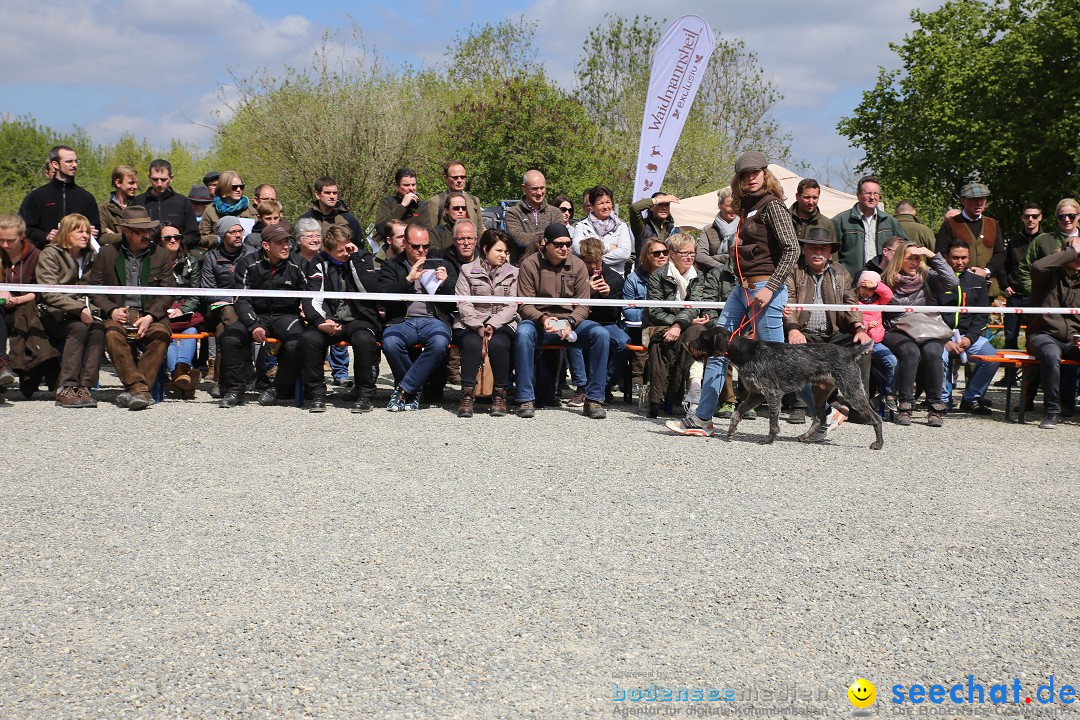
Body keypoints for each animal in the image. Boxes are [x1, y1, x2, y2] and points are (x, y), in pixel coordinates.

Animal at [691, 325, 885, 451]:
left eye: (702, 339)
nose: (689, 346)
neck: (746, 352)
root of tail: (850, 352)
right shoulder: (756, 395)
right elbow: (737, 413)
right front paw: (731, 431)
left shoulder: (772, 394)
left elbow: (772, 422)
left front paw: (769, 439)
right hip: (819, 392)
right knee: (820, 418)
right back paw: (806, 436)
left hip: (851, 391)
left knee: (876, 418)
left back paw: (878, 444)